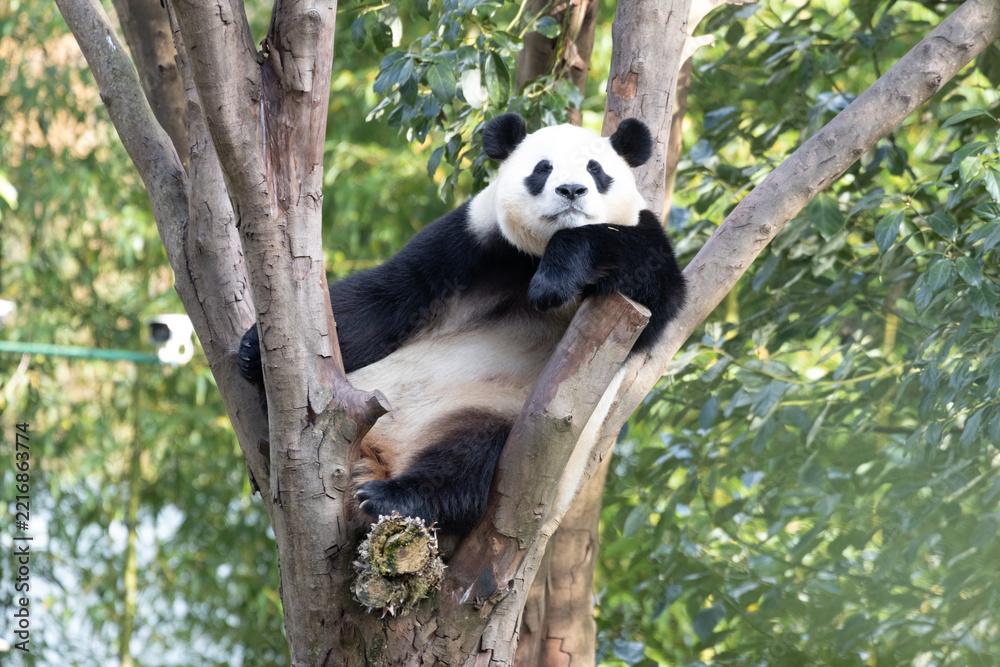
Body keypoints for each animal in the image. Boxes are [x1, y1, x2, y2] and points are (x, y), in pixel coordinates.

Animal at [238, 113, 686, 538]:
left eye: (596, 169)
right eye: (542, 168)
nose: (572, 190)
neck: (532, 257)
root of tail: (381, 455)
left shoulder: (639, 249)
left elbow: (654, 279)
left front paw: (554, 280)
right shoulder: (473, 239)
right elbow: (390, 296)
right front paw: (253, 348)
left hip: (508, 420)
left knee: (472, 455)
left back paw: (392, 497)